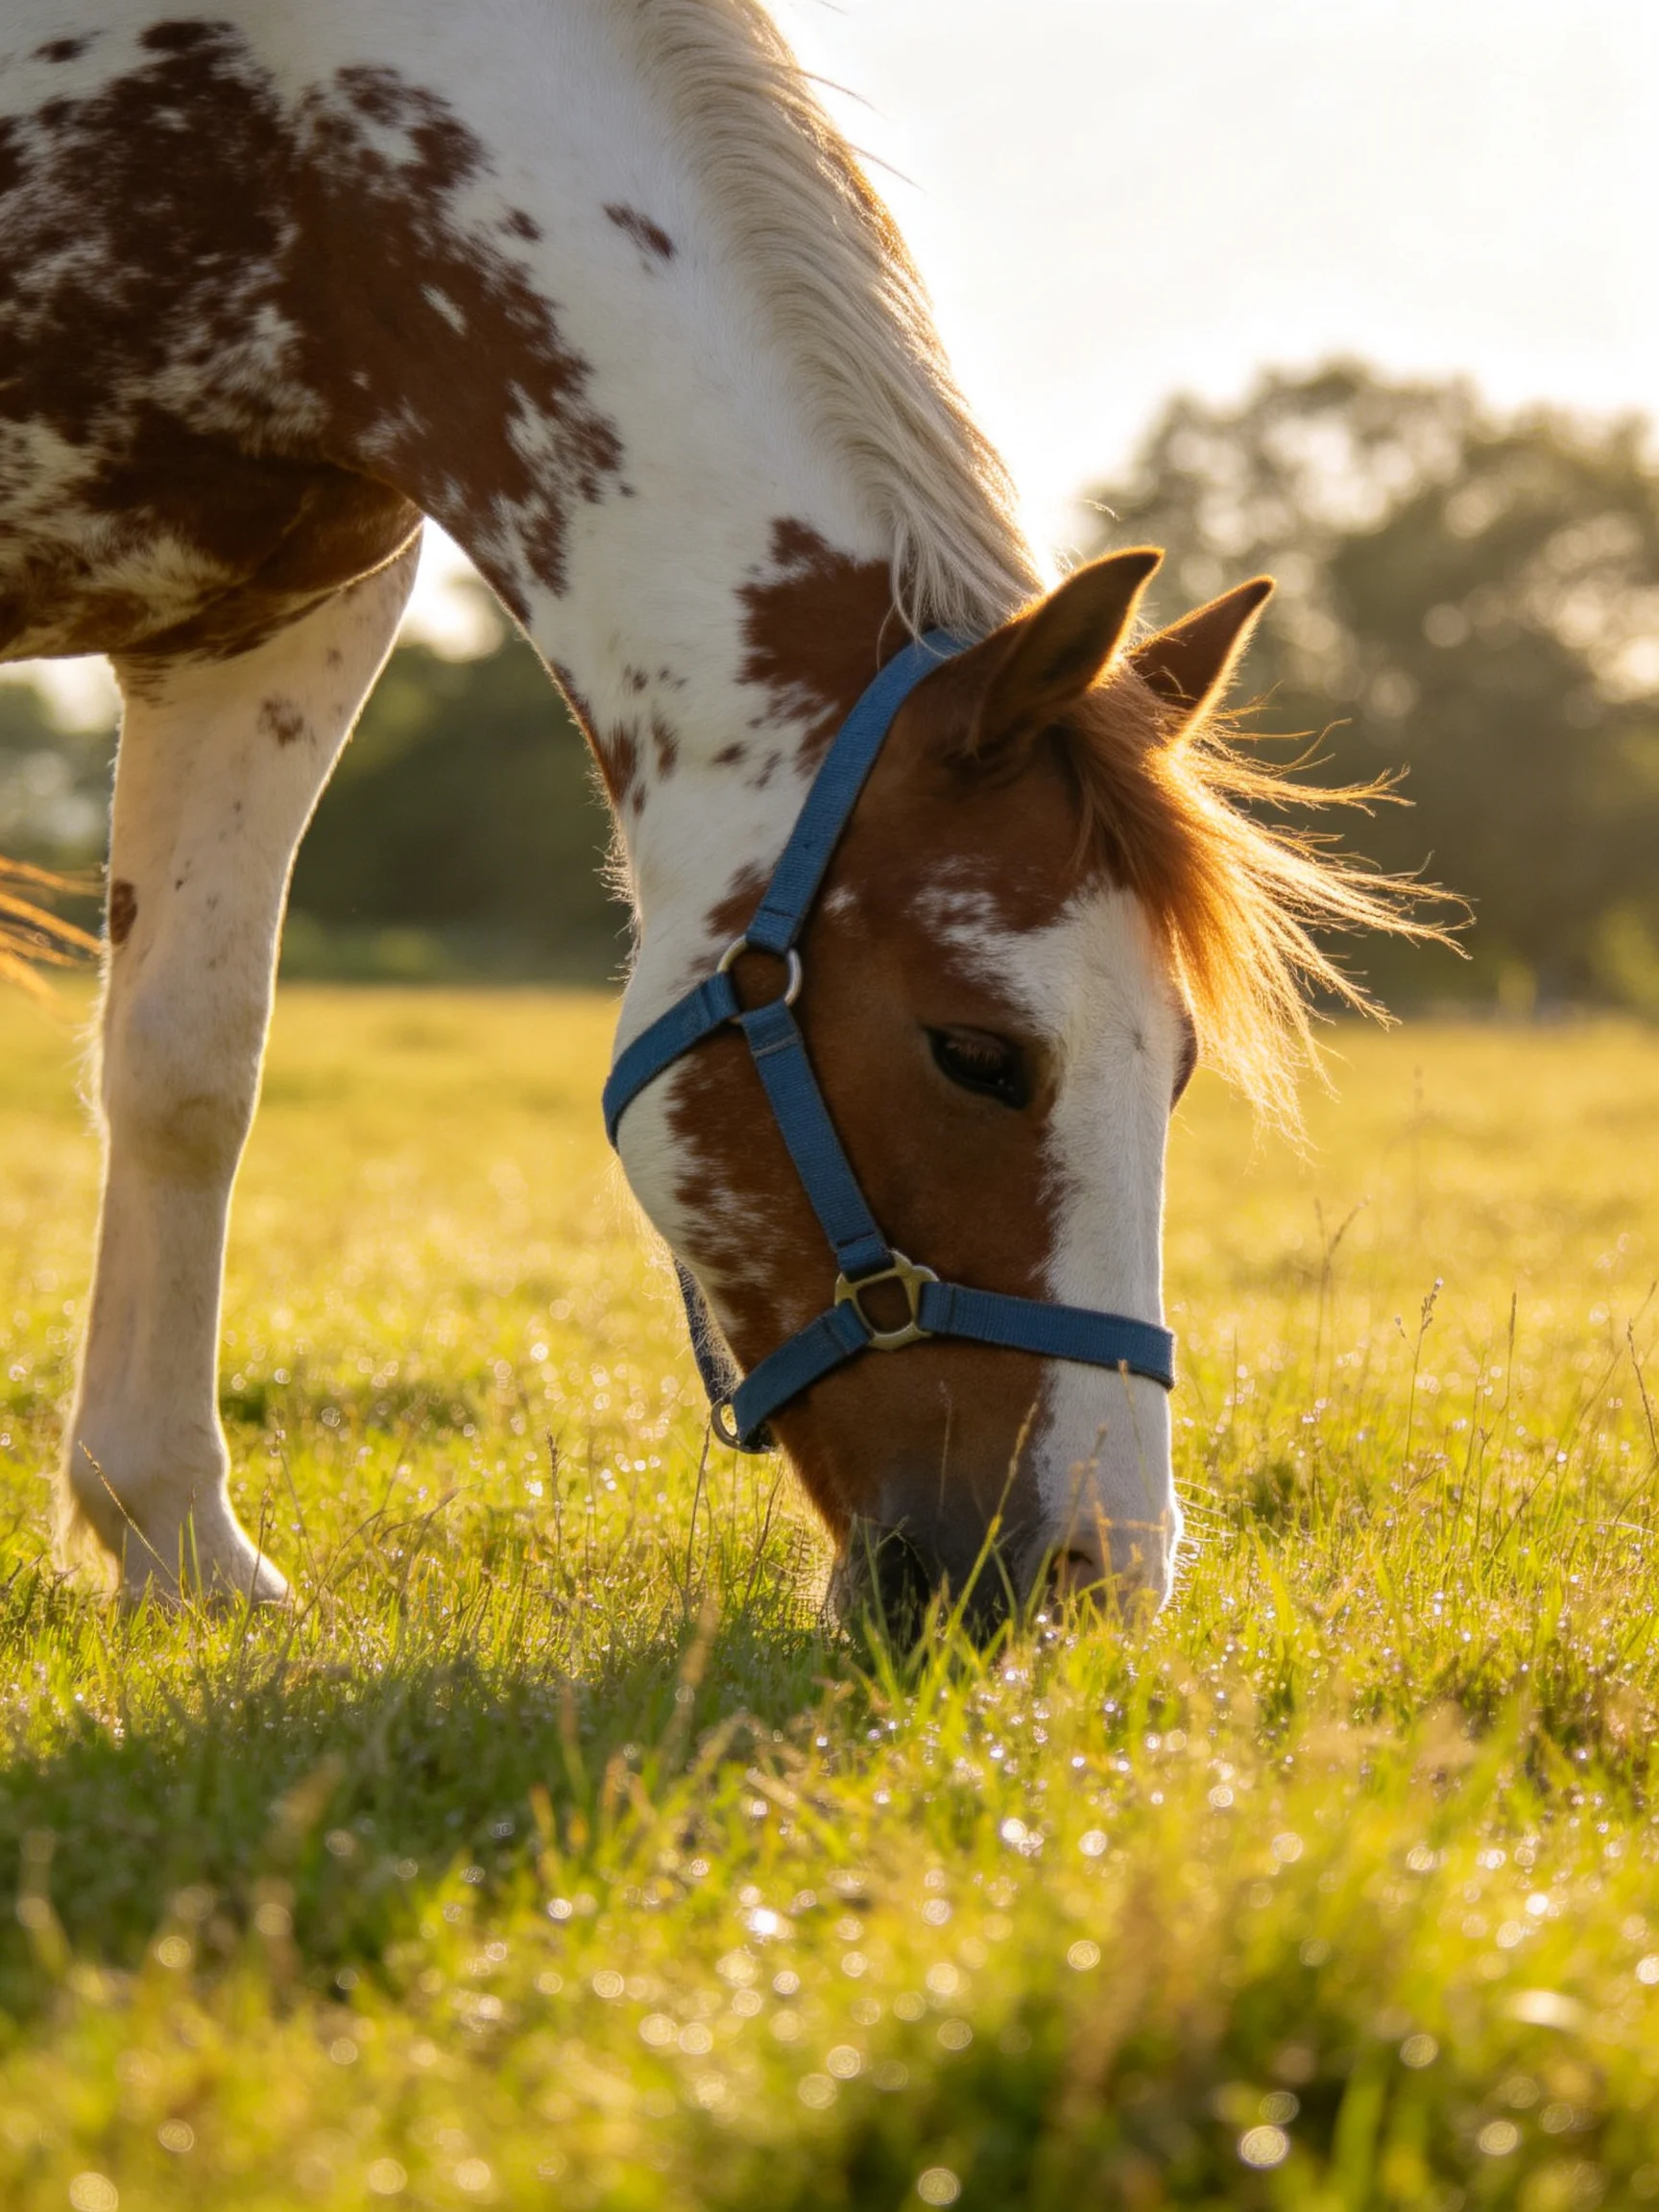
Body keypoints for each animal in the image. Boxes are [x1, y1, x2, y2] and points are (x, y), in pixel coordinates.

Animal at [0, 0, 1420, 1622]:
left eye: (1176, 1067)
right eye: (979, 1054)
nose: (1093, 1575)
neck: (270, 151)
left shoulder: (275, 625)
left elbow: (188, 1070)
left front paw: (181, 1545)